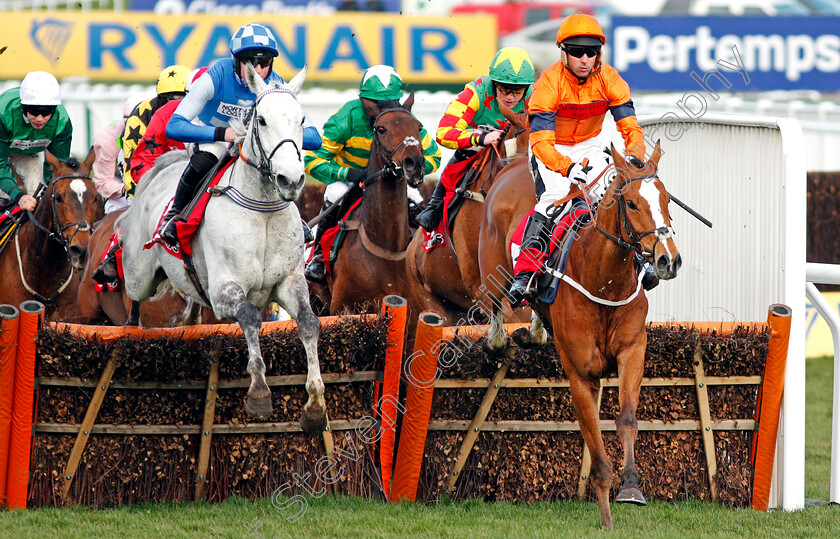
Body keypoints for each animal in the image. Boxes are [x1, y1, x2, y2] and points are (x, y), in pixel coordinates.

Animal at [117, 66, 324, 430]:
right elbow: (250, 315)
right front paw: (259, 392)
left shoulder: (290, 282)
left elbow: (309, 323)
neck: (262, 210)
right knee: (135, 295)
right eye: (262, 120)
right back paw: (132, 323)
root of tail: (163, 167)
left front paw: (314, 403)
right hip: (139, 275)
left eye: (301, 120)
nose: (291, 180)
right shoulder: (224, 290)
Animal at [476, 141, 680, 528]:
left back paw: (531, 333)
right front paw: (606, 514)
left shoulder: (633, 350)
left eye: (666, 200)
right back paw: (504, 334)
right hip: (491, 271)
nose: (668, 260)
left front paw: (631, 488)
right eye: (632, 203)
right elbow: (592, 437)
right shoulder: (580, 374)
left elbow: (626, 419)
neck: (603, 279)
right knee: (494, 311)